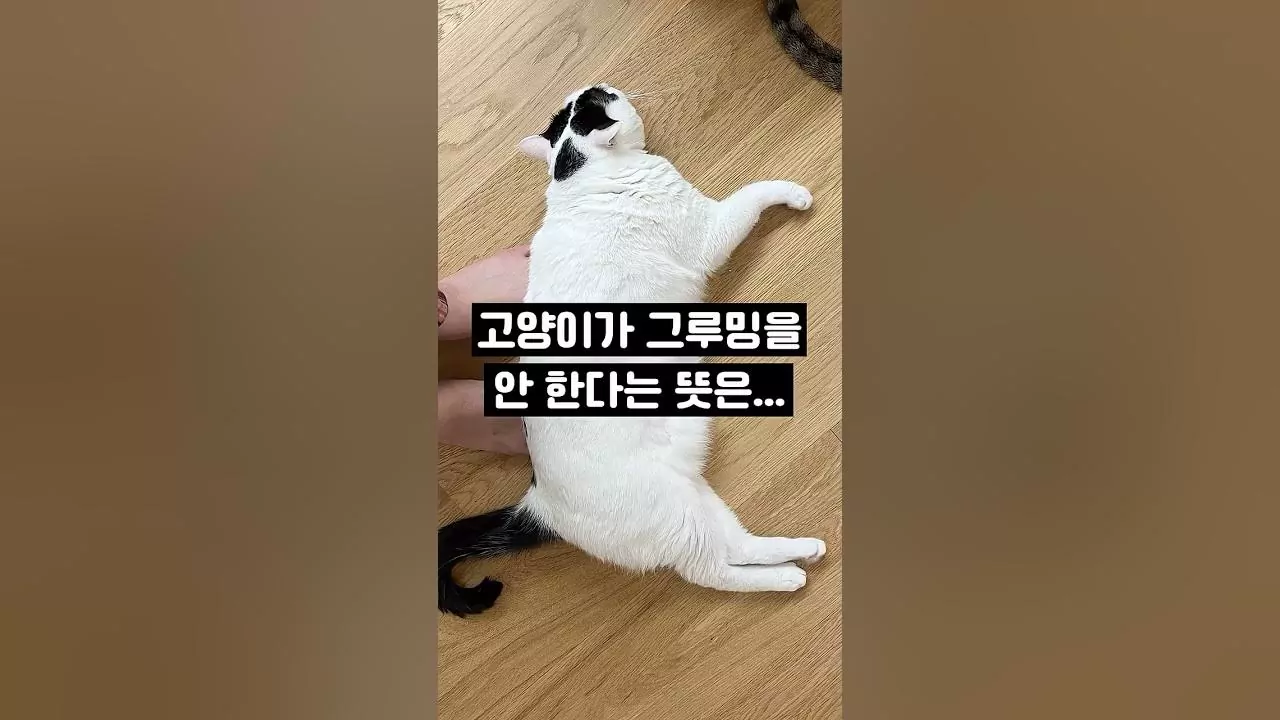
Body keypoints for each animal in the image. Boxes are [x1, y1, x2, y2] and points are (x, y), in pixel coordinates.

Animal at [439, 84, 827, 617]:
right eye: (599, 101)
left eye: (585, 98)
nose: (603, 85)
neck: (582, 176)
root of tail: (541, 505)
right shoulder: (709, 231)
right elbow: (754, 192)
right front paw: (794, 193)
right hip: (678, 516)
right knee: (711, 570)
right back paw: (788, 578)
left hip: (694, 496)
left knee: (736, 547)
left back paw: (802, 552)